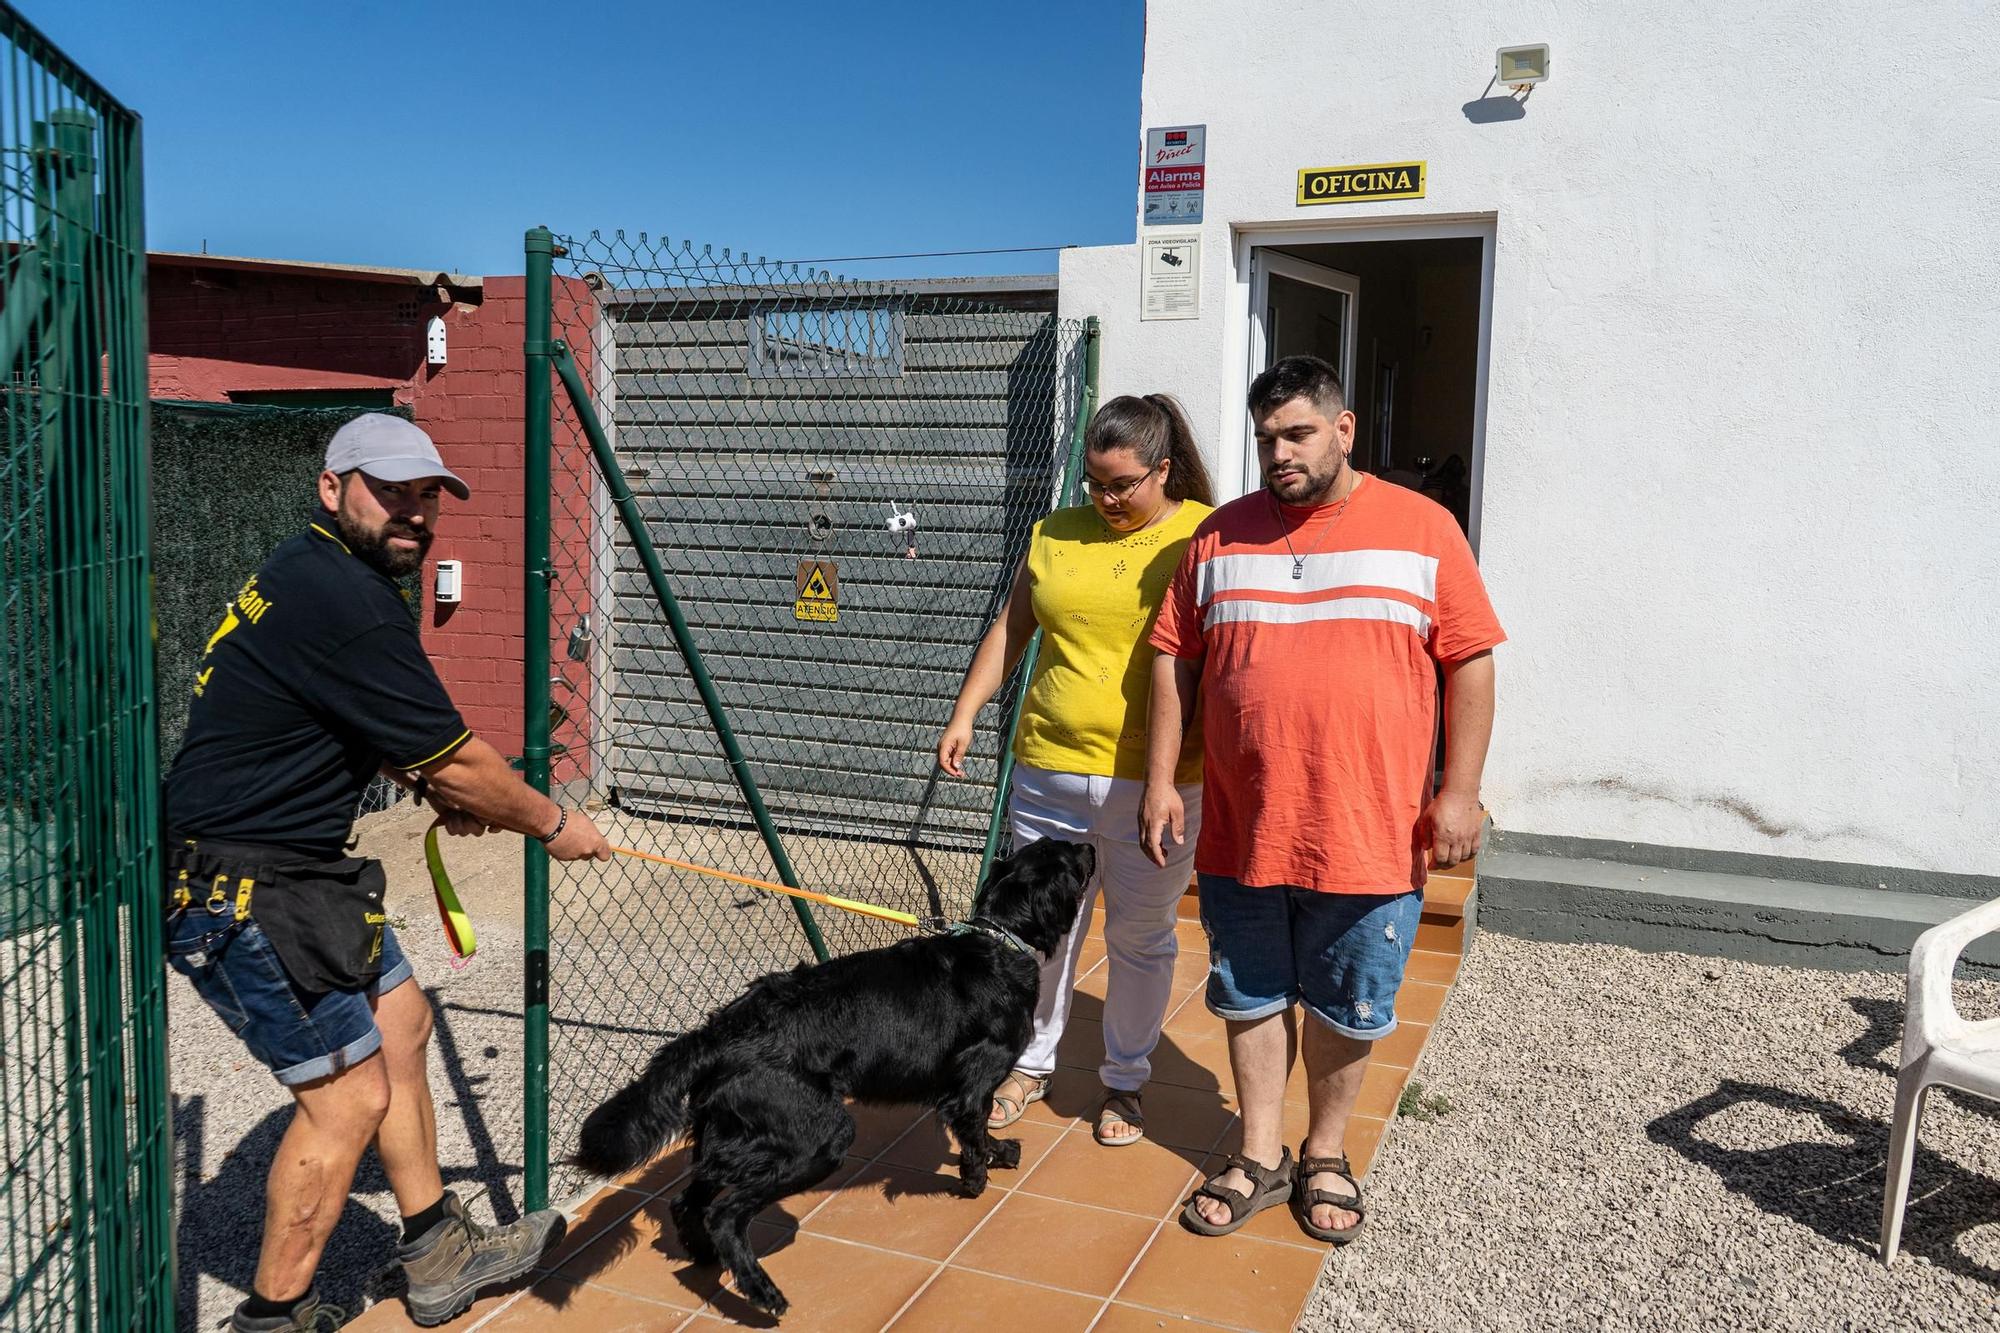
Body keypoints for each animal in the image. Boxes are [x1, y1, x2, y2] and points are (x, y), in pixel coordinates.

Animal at [572, 836, 1096, 1312]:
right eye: (1069, 856)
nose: (1091, 846)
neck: (997, 937)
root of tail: (720, 1030)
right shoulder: (973, 1083)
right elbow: (973, 1130)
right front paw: (977, 1178)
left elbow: (979, 1132)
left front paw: (997, 1155)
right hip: (816, 1137)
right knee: (724, 1213)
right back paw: (760, 1292)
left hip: (731, 1134)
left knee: (689, 1201)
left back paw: (707, 1259)